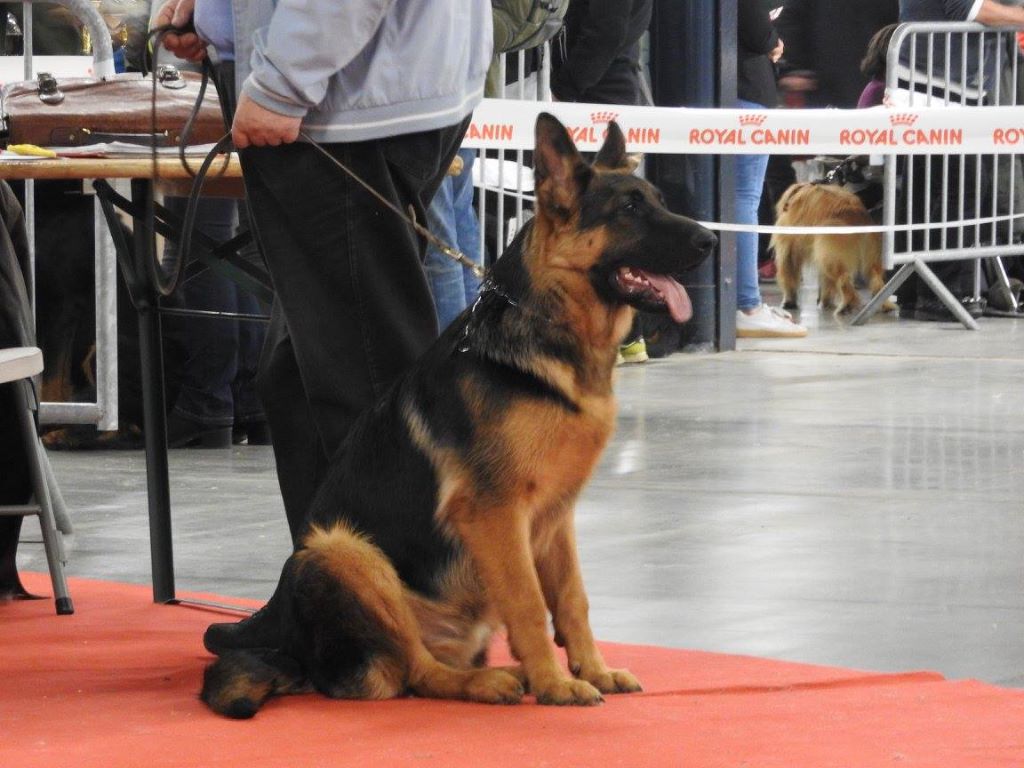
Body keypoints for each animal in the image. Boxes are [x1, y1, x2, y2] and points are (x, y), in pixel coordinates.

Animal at [197, 114, 712, 720]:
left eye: (657, 201)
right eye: (629, 208)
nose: (711, 240)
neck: (545, 327)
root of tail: (298, 653)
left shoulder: (556, 517)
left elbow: (572, 601)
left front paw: (591, 670)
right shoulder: (497, 513)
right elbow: (529, 603)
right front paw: (557, 684)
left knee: (420, 667)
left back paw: (510, 672)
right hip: (341, 551)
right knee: (415, 675)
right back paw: (491, 682)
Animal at [770, 183, 892, 315]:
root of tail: (859, 217)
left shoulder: (788, 249)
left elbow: (789, 275)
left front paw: (789, 301)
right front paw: (825, 302)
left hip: (831, 257)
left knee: (844, 279)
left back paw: (847, 306)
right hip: (869, 257)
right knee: (876, 278)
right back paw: (883, 305)